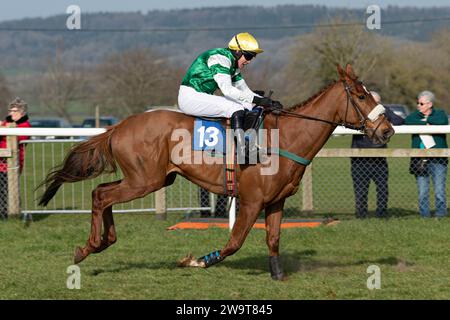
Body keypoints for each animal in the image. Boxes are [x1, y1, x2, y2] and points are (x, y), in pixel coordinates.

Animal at [38, 65, 392, 280]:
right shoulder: (251, 201)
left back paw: (102, 242)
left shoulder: (275, 201)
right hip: (144, 180)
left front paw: (278, 274)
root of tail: (119, 126)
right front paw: (196, 260)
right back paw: (87, 248)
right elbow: (235, 242)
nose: (387, 131)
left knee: (104, 194)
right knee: (101, 194)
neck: (285, 138)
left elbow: (274, 239)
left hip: (151, 178)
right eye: (361, 95)